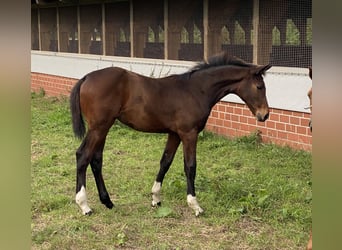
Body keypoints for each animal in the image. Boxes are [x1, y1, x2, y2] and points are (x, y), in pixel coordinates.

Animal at [69, 51, 272, 216]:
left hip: (103, 128)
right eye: (259, 87)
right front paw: (195, 205)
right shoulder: (189, 133)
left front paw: (156, 198)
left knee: (96, 160)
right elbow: (190, 166)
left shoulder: (174, 134)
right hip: (99, 127)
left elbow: (165, 162)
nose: (264, 115)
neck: (196, 90)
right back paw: (84, 205)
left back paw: (108, 202)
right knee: (83, 155)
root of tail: (86, 77)